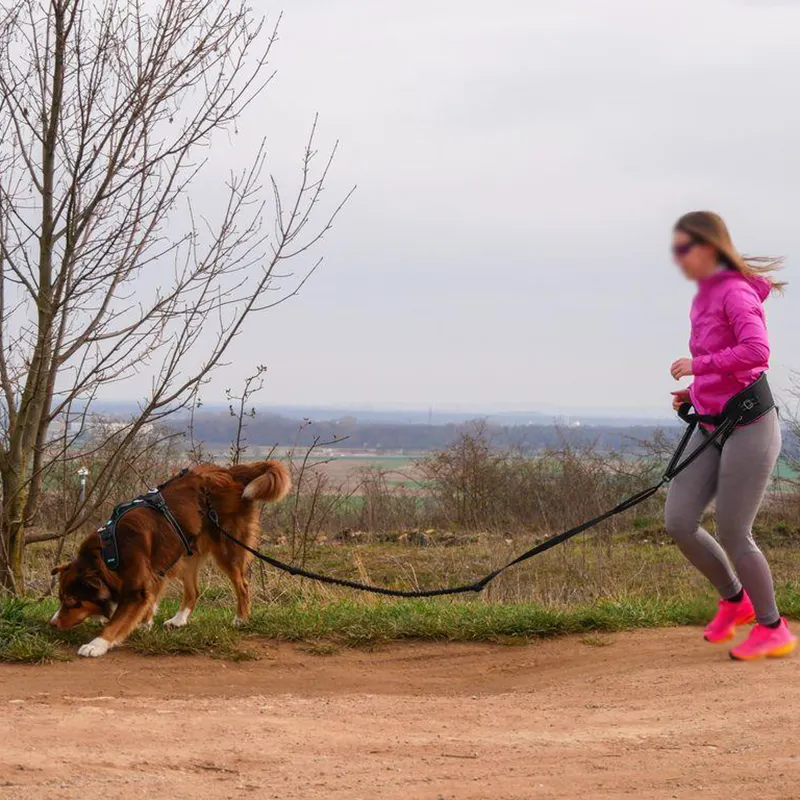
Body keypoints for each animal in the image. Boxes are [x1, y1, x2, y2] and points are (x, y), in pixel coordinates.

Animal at [49, 462, 290, 656]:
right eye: (60, 599)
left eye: (72, 601)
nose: (52, 624)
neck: (109, 553)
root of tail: (229, 472)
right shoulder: (154, 572)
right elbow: (149, 600)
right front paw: (144, 622)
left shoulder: (136, 587)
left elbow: (118, 620)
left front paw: (97, 644)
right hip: (187, 551)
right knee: (194, 591)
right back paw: (179, 620)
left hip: (227, 548)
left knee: (243, 585)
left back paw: (241, 618)